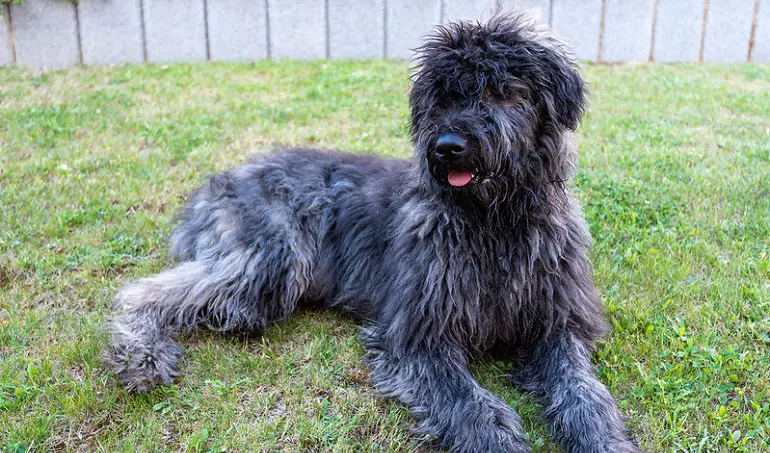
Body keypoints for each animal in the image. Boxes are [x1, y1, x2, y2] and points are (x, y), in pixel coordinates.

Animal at [103, 12, 640, 450]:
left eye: (500, 90)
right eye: (442, 96)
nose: (447, 146)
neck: (493, 224)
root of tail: (220, 182)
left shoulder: (556, 320)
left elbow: (583, 389)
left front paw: (604, 439)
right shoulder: (418, 335)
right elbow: (469, 403)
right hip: (270, 262)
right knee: (143, 291)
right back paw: (140, 356)